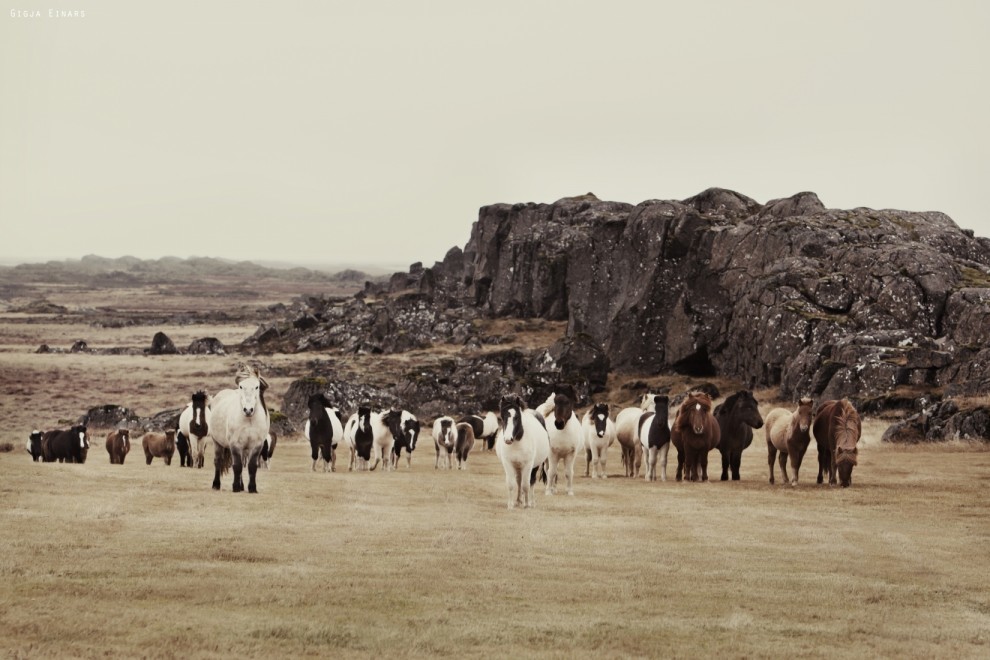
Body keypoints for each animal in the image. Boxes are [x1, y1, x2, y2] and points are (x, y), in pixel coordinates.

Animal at [210, 366, 272, 496]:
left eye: (257, 386)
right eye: (241, 386)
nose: (248, 410)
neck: (249, 419)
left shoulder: (256, 445)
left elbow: (252, 466)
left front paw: (252, 488)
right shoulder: (235, 444)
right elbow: (237, 466)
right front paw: (235, 487)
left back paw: (242, 485)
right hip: (217, 442)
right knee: (218, 461)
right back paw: (216, 484)